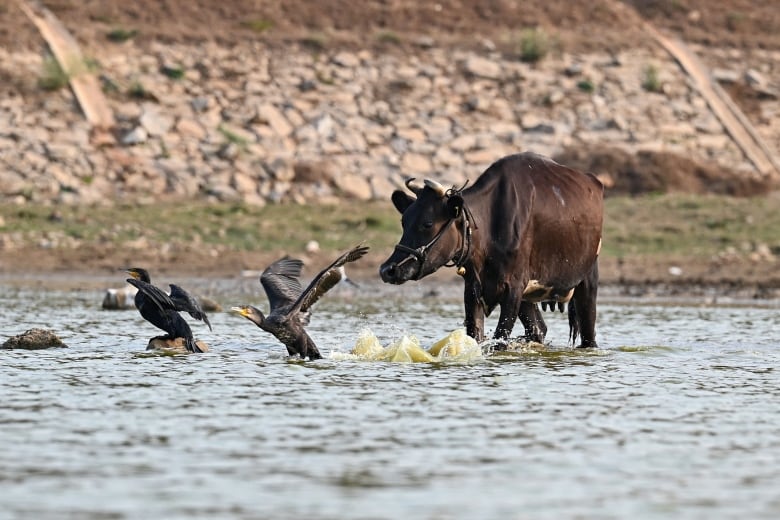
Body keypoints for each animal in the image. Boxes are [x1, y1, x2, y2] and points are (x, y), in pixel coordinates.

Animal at [378, 152, 604, 348]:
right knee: (538, 329)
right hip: (529, 297)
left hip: (587, 278)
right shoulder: (473, 289)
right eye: (404, 221)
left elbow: (500, 341)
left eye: (427, 223)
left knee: (588, 333)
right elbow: (476, 337)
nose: (387, 270)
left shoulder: (513, 288)